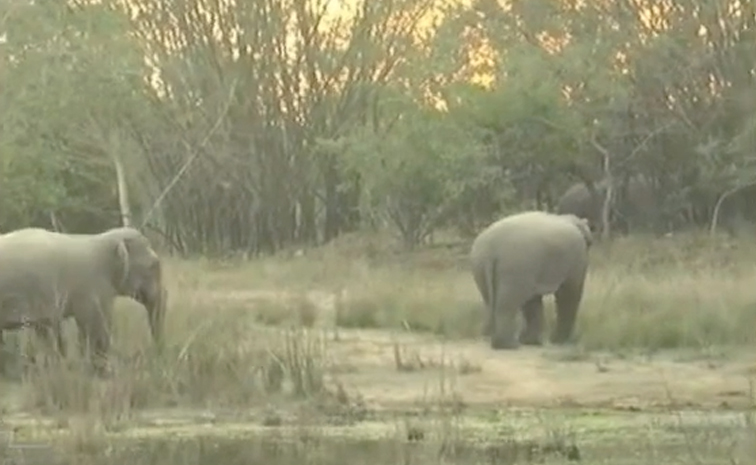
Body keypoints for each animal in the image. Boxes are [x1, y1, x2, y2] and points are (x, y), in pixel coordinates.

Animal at [0, 226, 167, 373]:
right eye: (153, 265)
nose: (155, 355)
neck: (101, 239)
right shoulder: (91, 288)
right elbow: (96, 327)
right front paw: (103, 371)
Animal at [470, 211, 592, 350]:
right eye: (590, 243)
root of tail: (491, 249)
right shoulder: (577, 255)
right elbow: (568, 293)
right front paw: (561, 342)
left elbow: (534, 300)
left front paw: (531, 342)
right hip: (516, 265)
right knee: (508, 303)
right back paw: (509, 345)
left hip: (479, 265)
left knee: (492, 301)